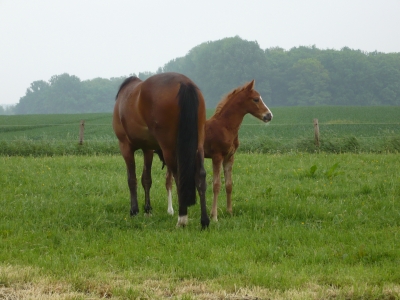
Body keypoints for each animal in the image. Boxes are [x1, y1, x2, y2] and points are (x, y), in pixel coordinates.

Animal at [113, 72, 209, 227]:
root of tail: (184, 82)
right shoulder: (148, 149)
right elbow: (146, 179)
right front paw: (147, 210)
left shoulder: (125, 146)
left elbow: (132, 179)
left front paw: (134, 211)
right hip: (198, 145)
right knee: (200, 175)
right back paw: (204, 221)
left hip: (169, 148)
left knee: (179, 177)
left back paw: (182, 219)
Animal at [162, 79, 272, 220]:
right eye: (256, 99)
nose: (269, 116)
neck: (225, 126)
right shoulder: (217, 157)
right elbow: (216, 185)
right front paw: (214, 216)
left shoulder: (229, 158)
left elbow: (229, 185)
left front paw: (229, 212)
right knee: (168, 181)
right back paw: (170, 210)